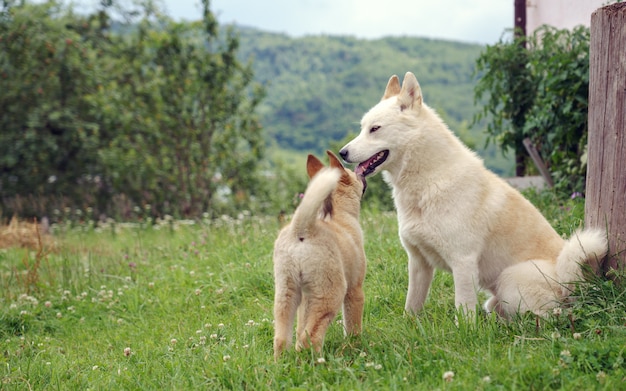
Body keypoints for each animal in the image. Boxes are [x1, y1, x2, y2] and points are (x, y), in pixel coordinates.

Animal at [272, 152, 366, 360]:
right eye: (353, 174)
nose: (362, 173)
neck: (340, 214)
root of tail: (302, 228)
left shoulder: (307, 297)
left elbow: (301, 326)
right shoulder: (355, 289)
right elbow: (352, 326)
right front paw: (355, 346)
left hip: (286, 293)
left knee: (283, 339)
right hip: (332, 294)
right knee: (310, 338)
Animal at [338, 72, 608, 320]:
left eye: (375, 129)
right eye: (363, 128)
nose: (342, 153)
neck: (430, 179)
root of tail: (572, 286)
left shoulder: (463, 262)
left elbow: (464, 309)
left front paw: (464, 330)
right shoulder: (418, 262)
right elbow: (412, 305)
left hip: (510, 281)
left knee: (548, 316)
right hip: (497, 297)